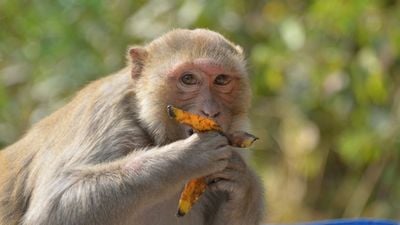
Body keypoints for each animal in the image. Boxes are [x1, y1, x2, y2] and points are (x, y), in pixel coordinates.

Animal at [0, 29, 266, 224]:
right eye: (188, 79)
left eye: (221, 80)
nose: (211, 111)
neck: (150, 130)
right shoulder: (106, 118)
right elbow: (55, 208)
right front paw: (189, 156)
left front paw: (242, 183)